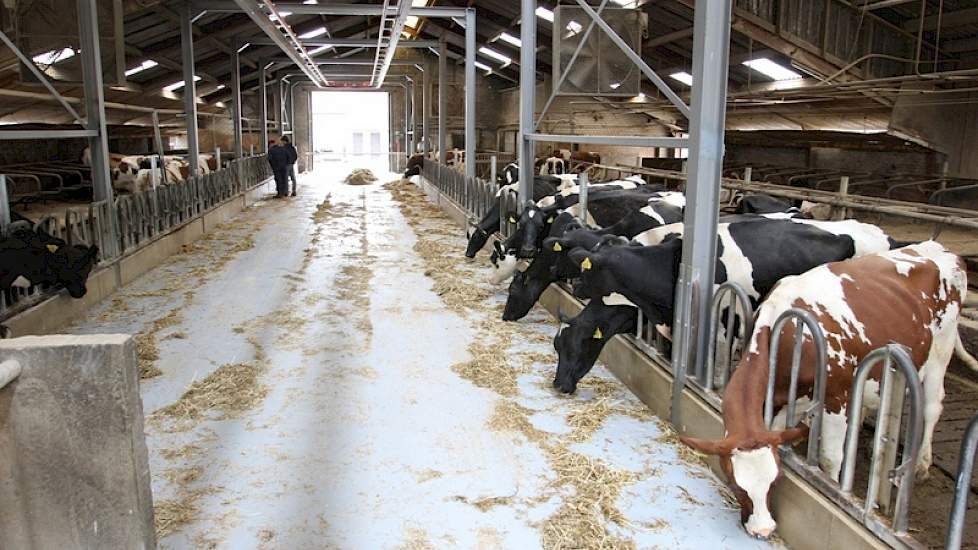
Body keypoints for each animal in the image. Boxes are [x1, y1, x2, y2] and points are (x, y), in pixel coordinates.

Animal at [684, 244, 972, 540]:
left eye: (774, 481)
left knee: (932, 406)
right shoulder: (779, 401)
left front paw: (833, 486)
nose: (763, 529)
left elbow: (830, 458)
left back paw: (922, 464)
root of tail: (937, 248)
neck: (788, 335)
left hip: (940, 351)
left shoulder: (837, 397)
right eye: (735, 484)